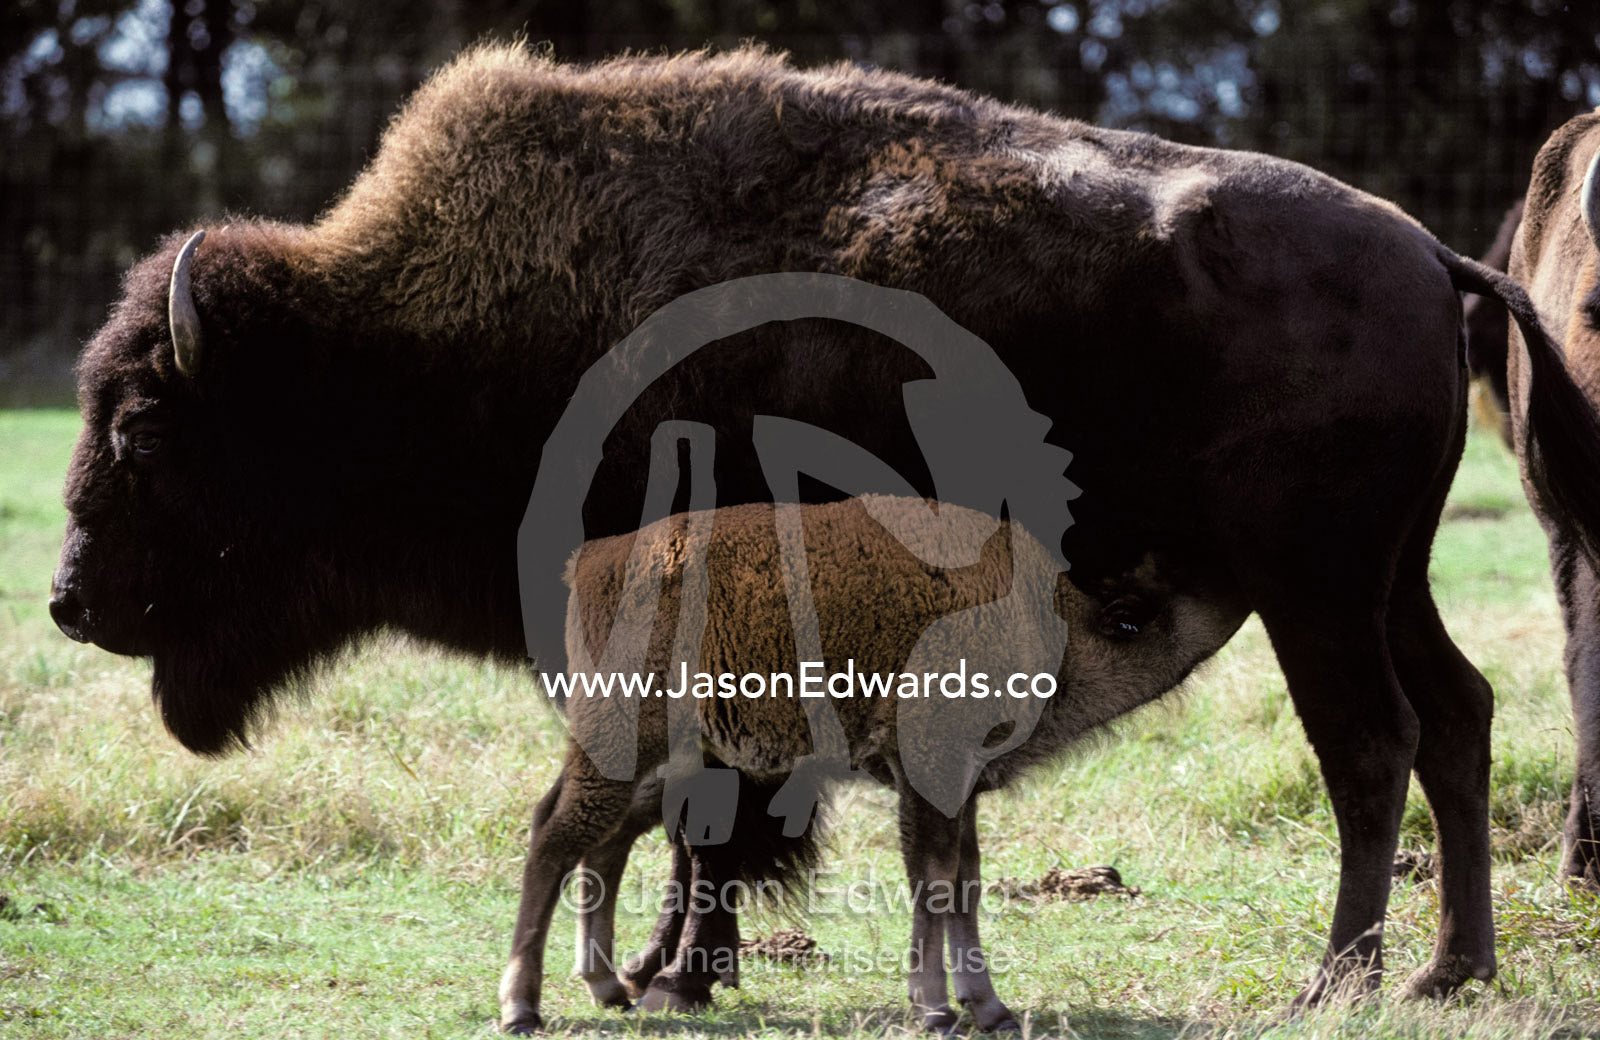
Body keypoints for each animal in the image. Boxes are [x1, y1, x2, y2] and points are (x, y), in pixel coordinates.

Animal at [47, 44, 1600, 1031]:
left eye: (146, 428)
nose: (69, 600)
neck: (396, 347)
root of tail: (1428, 253)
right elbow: (693, 815)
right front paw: (673, 967)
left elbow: (705, 819)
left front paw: (679, 971)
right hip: (1387, 578)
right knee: (1457, 715)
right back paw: (1449, 971)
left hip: (1313, 589)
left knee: (1370, 744)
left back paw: (1339, 979)